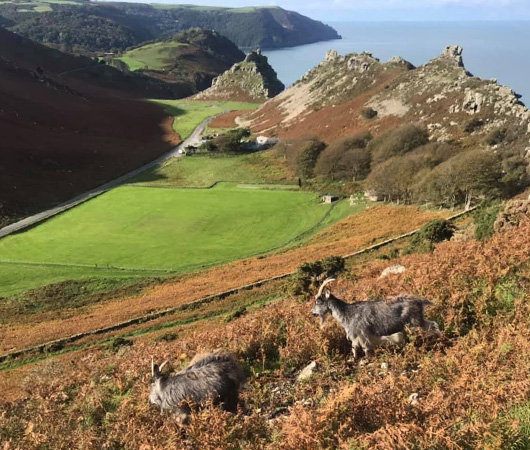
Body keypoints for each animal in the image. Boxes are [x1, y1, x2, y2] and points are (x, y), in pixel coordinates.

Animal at [310, 278, 438, 358]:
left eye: (319, 301)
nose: (312, 313)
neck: (348, 314)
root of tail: (420, 301)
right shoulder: (356, 337)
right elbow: (354, 348)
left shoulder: (362, 335)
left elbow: (365, 348)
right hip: (418, 321)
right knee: (433, 324)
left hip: (414, 322)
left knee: (432, 326)